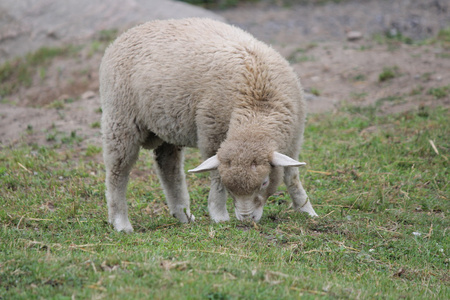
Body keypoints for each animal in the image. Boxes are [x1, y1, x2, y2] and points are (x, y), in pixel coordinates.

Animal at [99, 16, 316, 233]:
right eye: (230, 188)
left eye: (264, 183)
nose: (246, 219)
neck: (257, 106)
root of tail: (127, 33)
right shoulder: (212, 132)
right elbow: (217, 178)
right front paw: (219, 214)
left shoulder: (294, 139)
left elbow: (292, 176)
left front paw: (307, 210)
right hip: (120, 119)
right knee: (117, 171)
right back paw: (120, 222)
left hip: (165, 126)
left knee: (168, 168)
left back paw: (183, 215)